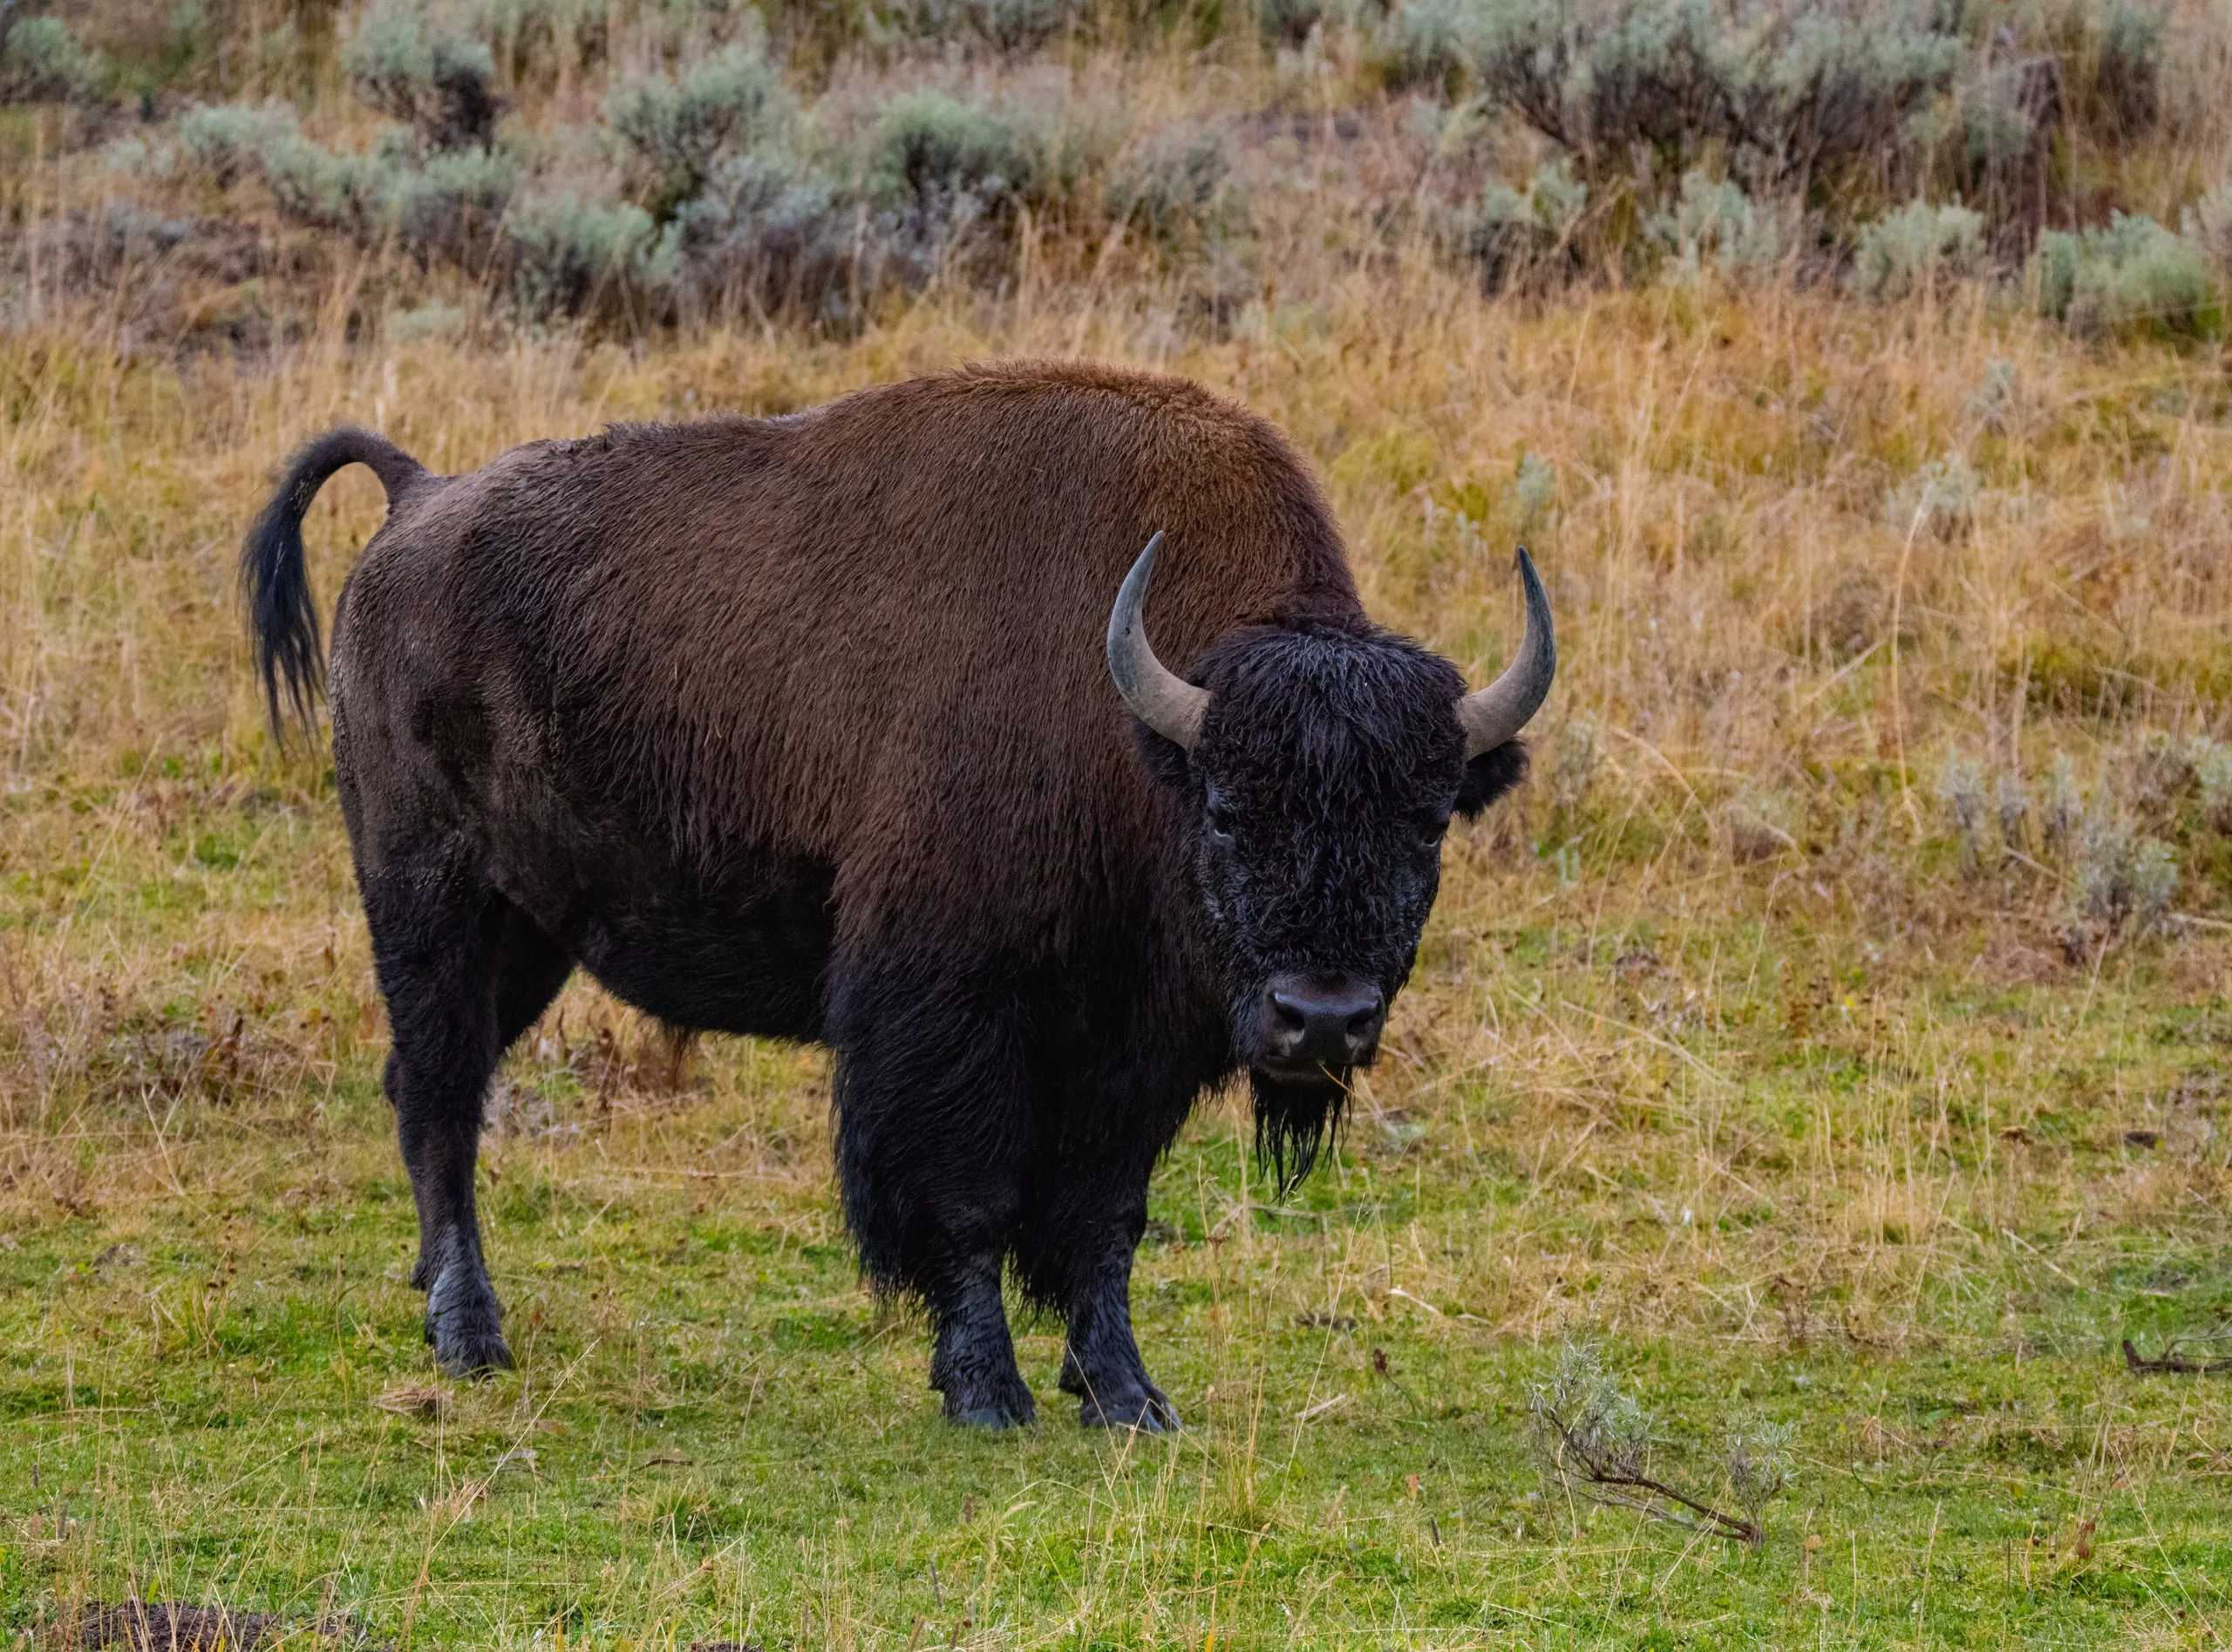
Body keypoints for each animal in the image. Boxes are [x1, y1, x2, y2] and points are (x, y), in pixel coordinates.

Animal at [240, 361, 1553, 1431]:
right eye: (1229, 809)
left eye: (1427, 820)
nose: (1321, 1017)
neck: (1138, 735)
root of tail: (418, 500)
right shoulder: (951, 1011)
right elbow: (967, 1201)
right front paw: (987, 1392)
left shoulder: (1134, 1052)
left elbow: (1105, 1220)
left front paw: (1127, 1395)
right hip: (432, 901)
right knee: (442, 1096)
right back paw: (471, 1335)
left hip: (531, 933)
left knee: (423, 1084)